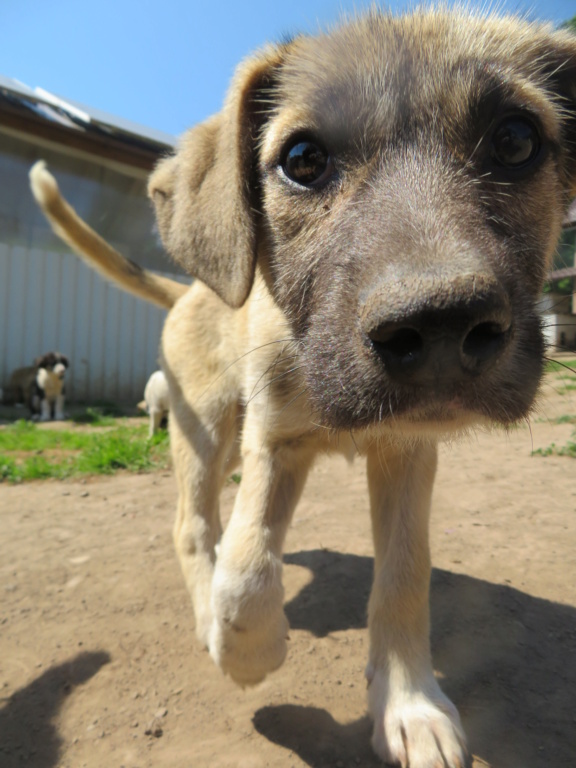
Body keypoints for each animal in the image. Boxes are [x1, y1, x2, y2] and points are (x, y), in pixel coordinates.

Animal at [29, 9, 576, 764]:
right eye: (303, 160)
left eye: (517, 140)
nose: (439, 327)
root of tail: (188, 287)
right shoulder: (275, 438)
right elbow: (246, 564)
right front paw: (244, 648)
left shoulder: (408, 451)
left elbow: (403, 576)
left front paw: (409, 707)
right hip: (206, 430)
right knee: (195, 526)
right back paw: (208, 615)